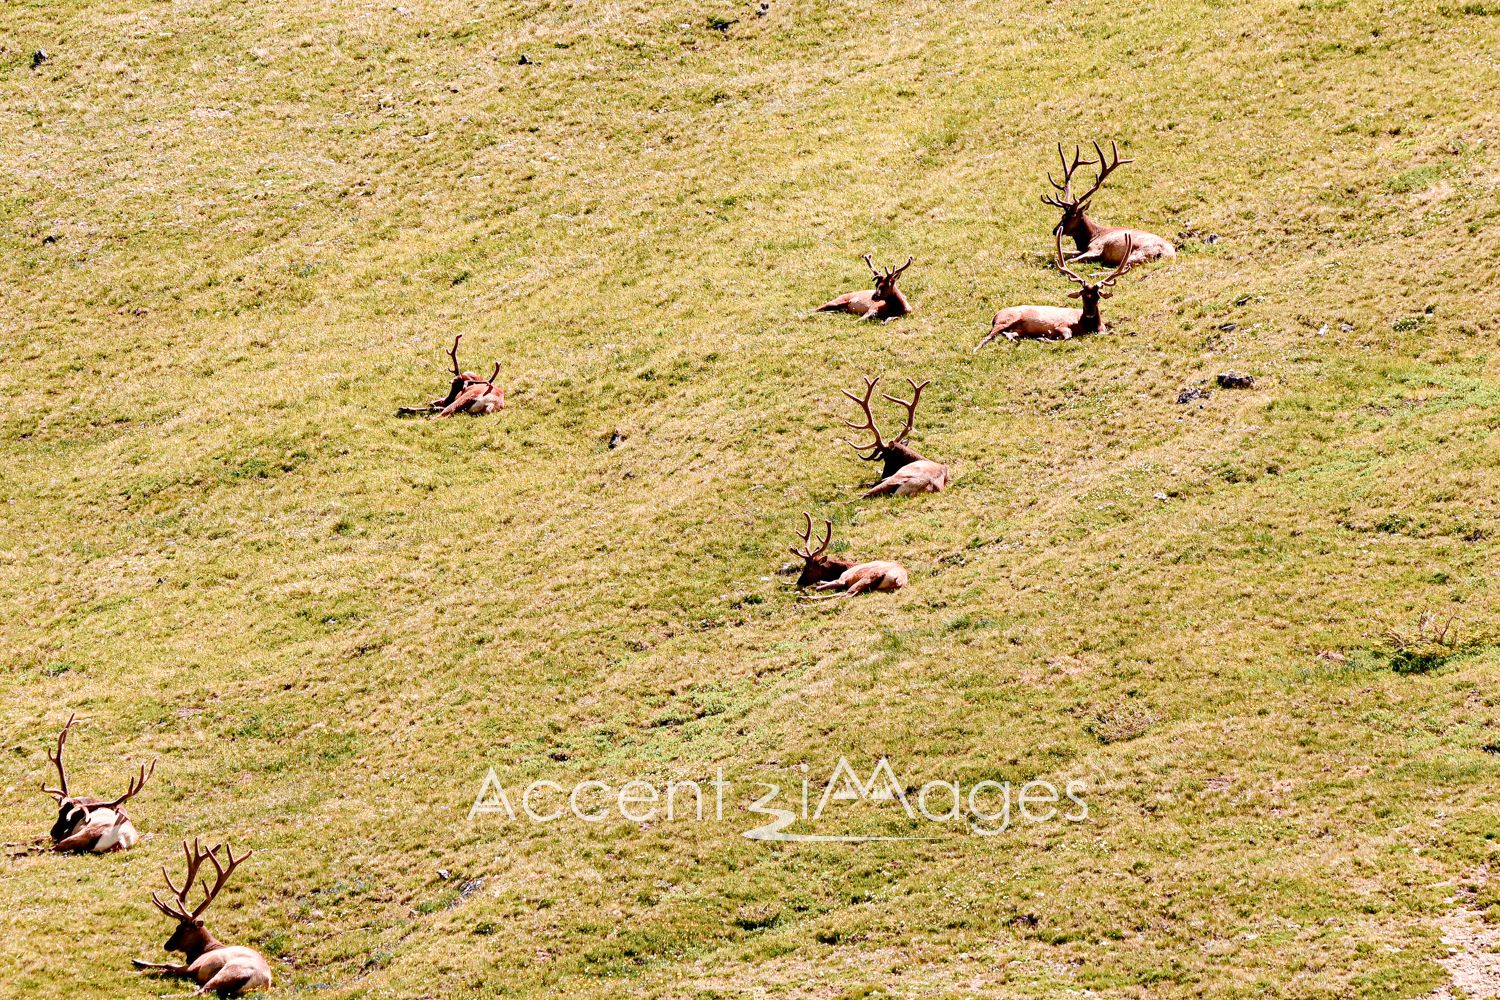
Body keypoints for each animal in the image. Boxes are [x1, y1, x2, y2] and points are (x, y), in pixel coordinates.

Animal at [40, 713, 154, 853]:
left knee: (47, 848)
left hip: (82, 834)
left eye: (73, 817)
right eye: (60, 810)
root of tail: (121, 841)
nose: (54, 832)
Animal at [133, 839, 273, 997]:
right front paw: (136, 961)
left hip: (227, 971)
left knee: (201, 991)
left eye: (186, 929)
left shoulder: (197, 964)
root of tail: (261, 983)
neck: (203, 950)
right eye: (177, 926)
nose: (167, 945)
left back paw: (166, 994)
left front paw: (136, 971)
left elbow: (168, 966)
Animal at [975, 231, 1139, 349]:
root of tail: (995, 315)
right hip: (1005, 320)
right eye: (1083, 295)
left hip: (1016, 328)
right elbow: (1067, 337)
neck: (1086, 326)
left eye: (1098, 296)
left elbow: (1117, 331)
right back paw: (976, 349)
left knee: (1008, 334)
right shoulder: (1061, 325)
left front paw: (1132, 332)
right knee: (988, 337)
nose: (1090, 313)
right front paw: (1044, 338)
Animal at [1042, 140, 1175, 267]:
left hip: (1139, 251)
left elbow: (1069, 259)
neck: (1090, 237)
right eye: (1063, 215)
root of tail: (1169, 255)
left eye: (1072, 216)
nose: (1055, 230)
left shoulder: (1096, 248)